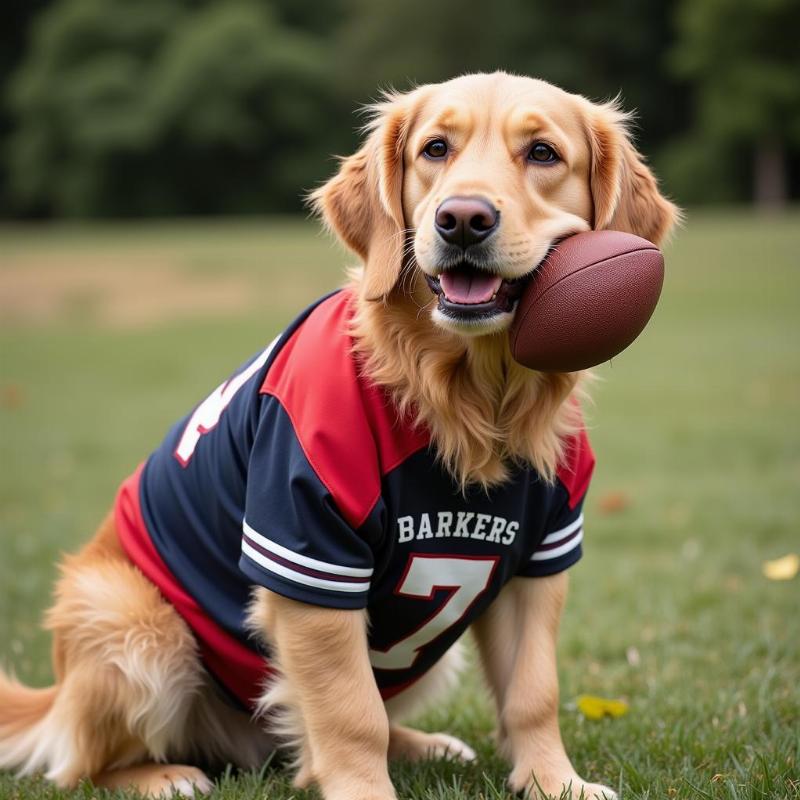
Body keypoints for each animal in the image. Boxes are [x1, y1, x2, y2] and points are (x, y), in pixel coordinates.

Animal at [0, 72, 676, 796]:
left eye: (544, 154)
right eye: (435, 148)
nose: (463, 220)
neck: (466, 394)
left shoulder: (539, 561)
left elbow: (533, 692)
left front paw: (555, 780)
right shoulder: (311, 555)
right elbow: (349, 712)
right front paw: (364, 788)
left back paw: (423, 745)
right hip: (131, 618)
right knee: (77, 765)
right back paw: (162, 774)